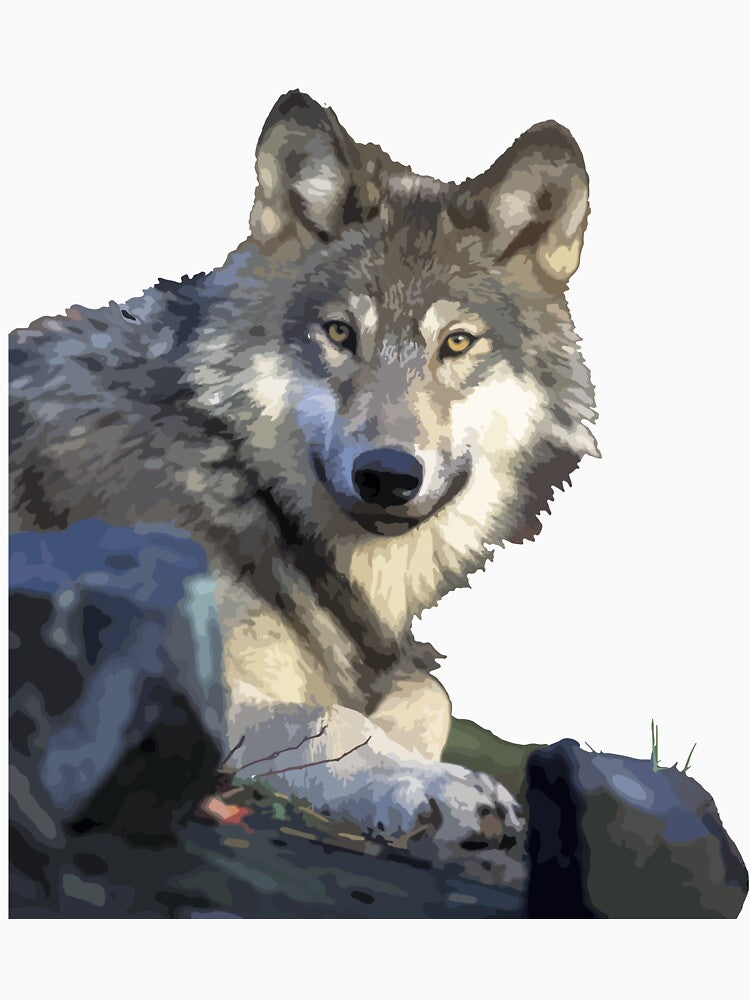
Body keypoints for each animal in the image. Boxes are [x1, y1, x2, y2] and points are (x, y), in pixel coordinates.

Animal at [9, 91, 597, 878]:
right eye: (341, 333)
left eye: (457, 343)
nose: (387, 475)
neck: (241, 479)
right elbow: (326, 717)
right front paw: (427, 787)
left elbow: (429, 691)